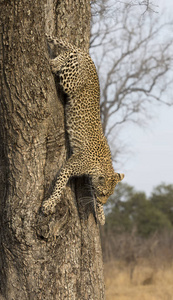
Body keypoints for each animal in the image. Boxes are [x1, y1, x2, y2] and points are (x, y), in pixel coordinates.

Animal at [41, 37, 123, 225]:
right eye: (104, 193)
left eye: (109, 195)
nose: (103, 202)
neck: (102, 164)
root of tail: (89, 57)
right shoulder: (69, 166)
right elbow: (60, 186)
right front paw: (50, 203)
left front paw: (101, 214)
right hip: (69, 83)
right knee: (70, 53)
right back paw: (55, 62)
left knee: (72, 52)